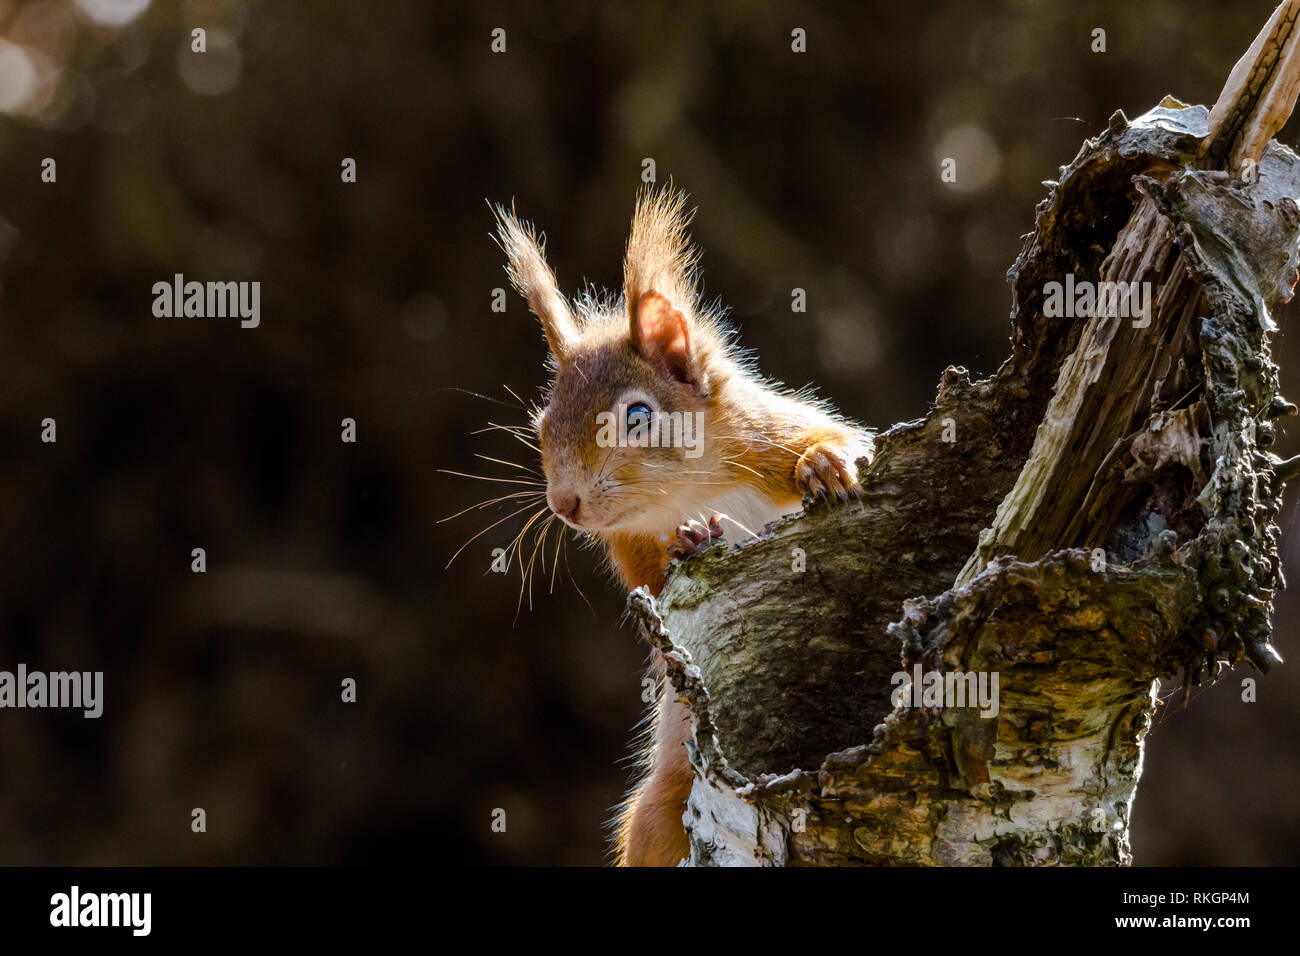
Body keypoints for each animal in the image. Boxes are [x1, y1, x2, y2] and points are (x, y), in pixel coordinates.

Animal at [494, 187, 873, 866]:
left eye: (638, 416)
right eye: (541, 427)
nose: (564, 503)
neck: (688, 491)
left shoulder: (767, 438)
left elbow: (833, 439)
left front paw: (825, 464)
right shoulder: (628, 541)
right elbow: (651, 586)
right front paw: (690, 542)